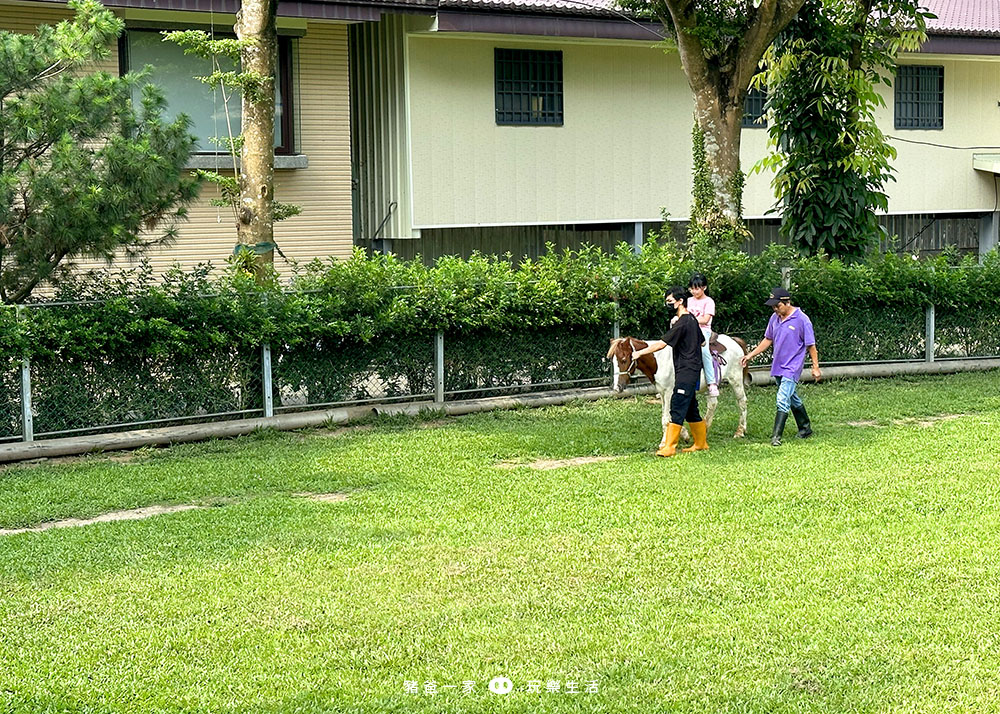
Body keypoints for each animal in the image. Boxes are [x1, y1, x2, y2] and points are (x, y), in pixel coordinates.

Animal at [600, 330, 752, 442]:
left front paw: (667, 441)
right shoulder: (662, 393)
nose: (617, 387)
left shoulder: (669, 392)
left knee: (742, 402)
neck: (659, 360)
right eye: (612, 361)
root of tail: (734, 341)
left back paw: (740, 431)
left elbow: (667, 418)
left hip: (736, 380)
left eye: (623, 359)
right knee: (713, 403)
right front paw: (681, 435)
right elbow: (666, 417)